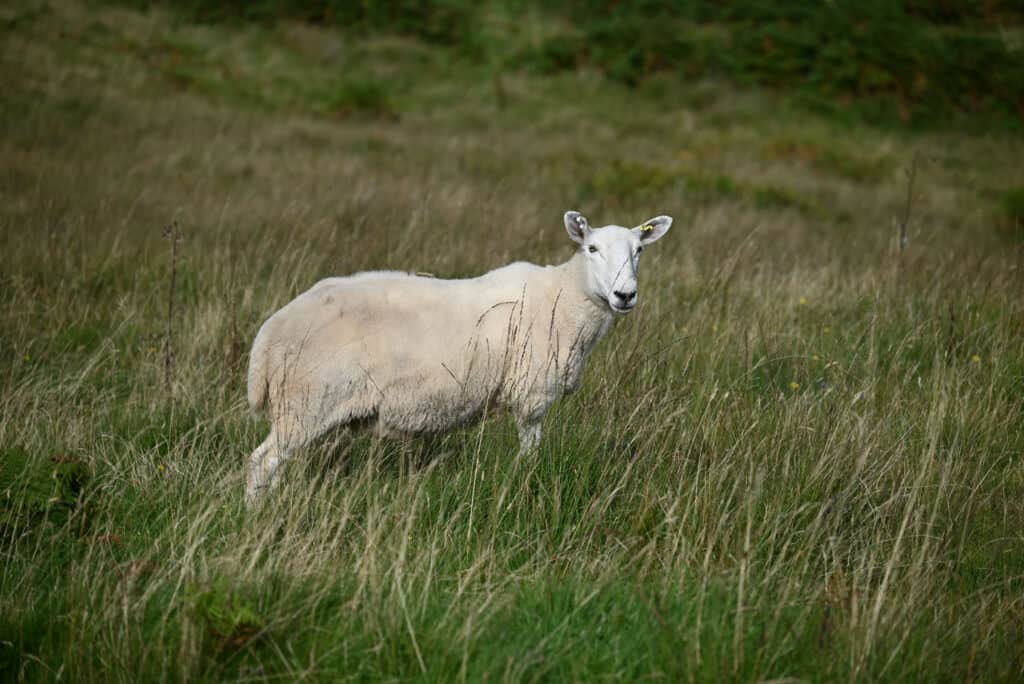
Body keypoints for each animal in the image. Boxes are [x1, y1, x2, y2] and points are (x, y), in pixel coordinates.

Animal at [245, 210, 671, 505]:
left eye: (639, 250)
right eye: (592, 249)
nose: (625, 295)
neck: (564, 297)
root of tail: (270, 333)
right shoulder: (531, 397)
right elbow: (531, 452)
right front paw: (525, 484)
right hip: (306, 403)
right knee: (261, 463)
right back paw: (257, 515)